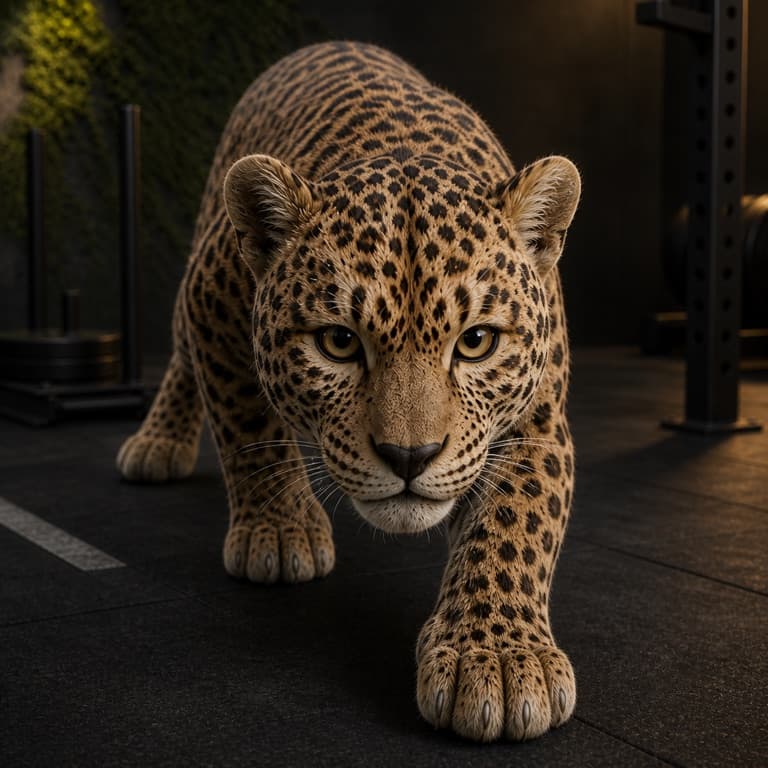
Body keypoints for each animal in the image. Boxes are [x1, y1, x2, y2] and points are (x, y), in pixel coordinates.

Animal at [116, 41, 580, 743]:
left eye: (476, 342)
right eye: (338, 342)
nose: (409, 457)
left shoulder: (537, 414)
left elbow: (518, 519)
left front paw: (497, 656)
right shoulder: (212, 293)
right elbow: (247, 423)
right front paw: (280, 531)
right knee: (179, 351)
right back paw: (157, 442)